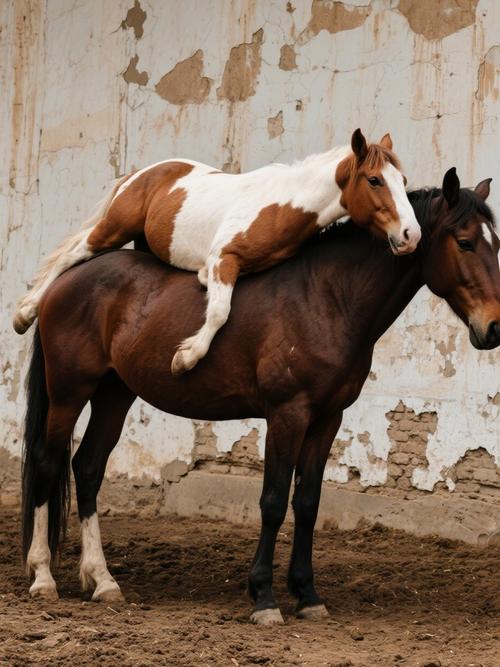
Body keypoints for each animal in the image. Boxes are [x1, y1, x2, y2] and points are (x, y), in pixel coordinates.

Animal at [13, 129, 421, 376]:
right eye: (374, 180)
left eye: (402, 180)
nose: (411, 235)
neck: (282, 204)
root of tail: (144, 172)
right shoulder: (223, 259)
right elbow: (220, 311)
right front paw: (186, 357)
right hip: (113, 229)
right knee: (71, 255)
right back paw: (24, 313)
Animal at [21, 168, 499, 626]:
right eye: (464, 242)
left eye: (494, 244)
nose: (493, 327)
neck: (327, 297)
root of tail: (63, 282)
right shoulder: (288, 415)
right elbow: (272, 502)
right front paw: (264, 598)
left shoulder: (327, 419)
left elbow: (307, 503)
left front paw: (307, 595)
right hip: (69, 392)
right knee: (47, 463)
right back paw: (43, 576)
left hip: (114, 395)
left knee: (87, 469)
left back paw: (102, 580)